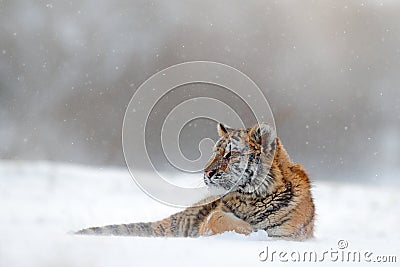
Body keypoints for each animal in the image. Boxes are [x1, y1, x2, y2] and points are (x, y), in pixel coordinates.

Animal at [76, 122, 314, 242]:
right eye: (215, 152)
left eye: (229, 154)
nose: (206, 172)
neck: (251, 197)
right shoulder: (212, 217)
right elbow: (219, 220)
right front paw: (250, 231)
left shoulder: (291, 232)